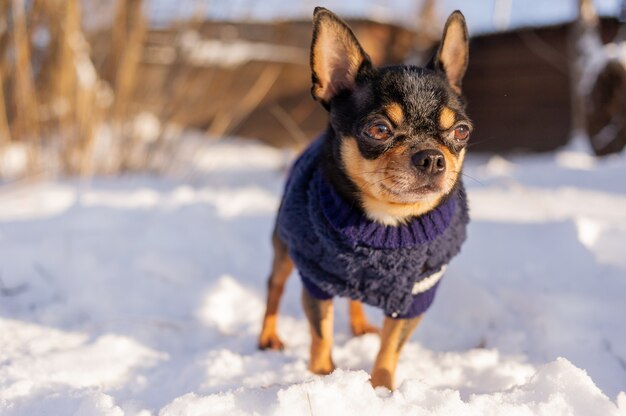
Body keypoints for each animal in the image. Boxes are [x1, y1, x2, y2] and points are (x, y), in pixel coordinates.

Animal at [258, 7, 468, 390]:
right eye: (379, 129)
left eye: (461, 132)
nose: (432, 157)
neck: (386, 221)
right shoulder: (316, 280)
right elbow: (321, 335)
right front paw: (324, 378)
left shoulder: (414, 296)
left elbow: (390, 346)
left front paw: (381, 388)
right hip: (285, 247)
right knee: (275, 286)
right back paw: (267, 336)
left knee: (352, 300)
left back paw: (358, 325)